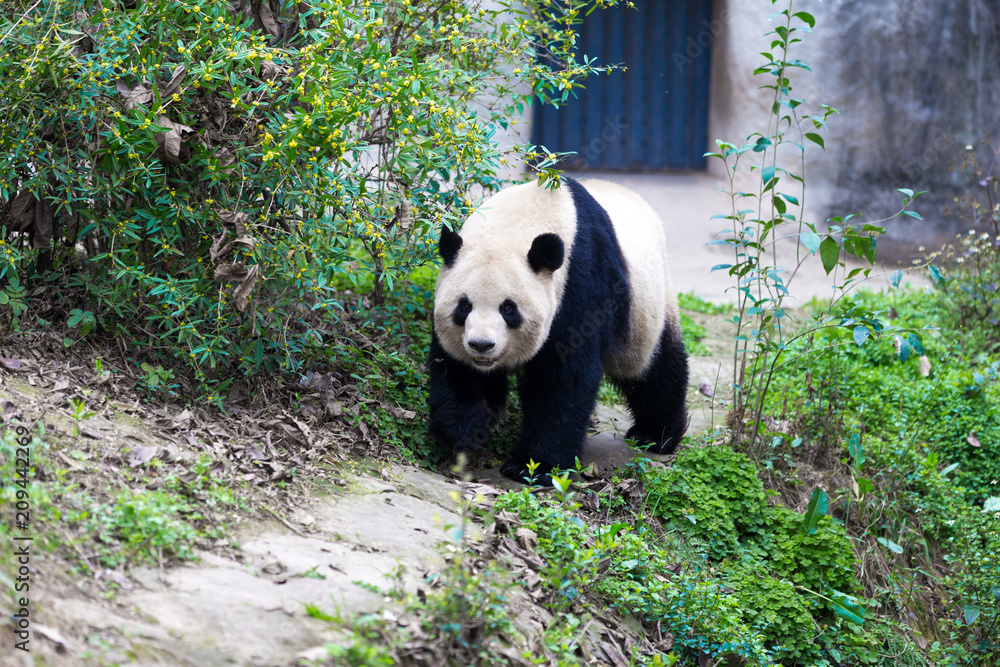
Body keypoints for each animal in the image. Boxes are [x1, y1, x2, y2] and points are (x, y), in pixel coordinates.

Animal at [430, 175, 688, 482]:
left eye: (508, 309)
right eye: (464, 306)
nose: (482, 345)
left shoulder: (580, 281)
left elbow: (564, 377)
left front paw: (533, 465)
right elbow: (456, 369)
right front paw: (467, 429)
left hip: (648, 306)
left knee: (656, 368)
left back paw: (655, 435)